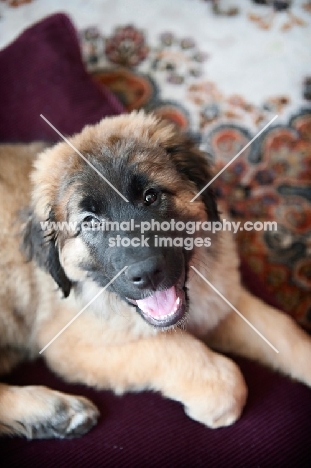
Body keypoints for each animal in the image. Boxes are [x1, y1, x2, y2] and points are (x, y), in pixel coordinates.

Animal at [0, 112, 311, 438]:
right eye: (90, 221)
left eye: (150, 196)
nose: (146, 274)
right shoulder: (68, 343)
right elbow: (176, 350)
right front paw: (219, 394)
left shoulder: (220, 301)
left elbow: (283, 329)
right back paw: (58, 411)